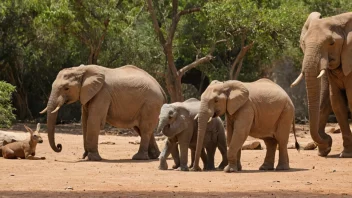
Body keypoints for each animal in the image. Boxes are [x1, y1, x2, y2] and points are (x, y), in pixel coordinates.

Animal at [290, 12, 352, 158]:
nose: (328, 139)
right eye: (303, 43)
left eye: (332, 43)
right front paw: (345, 153)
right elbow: (336, 102)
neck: (339, 19)